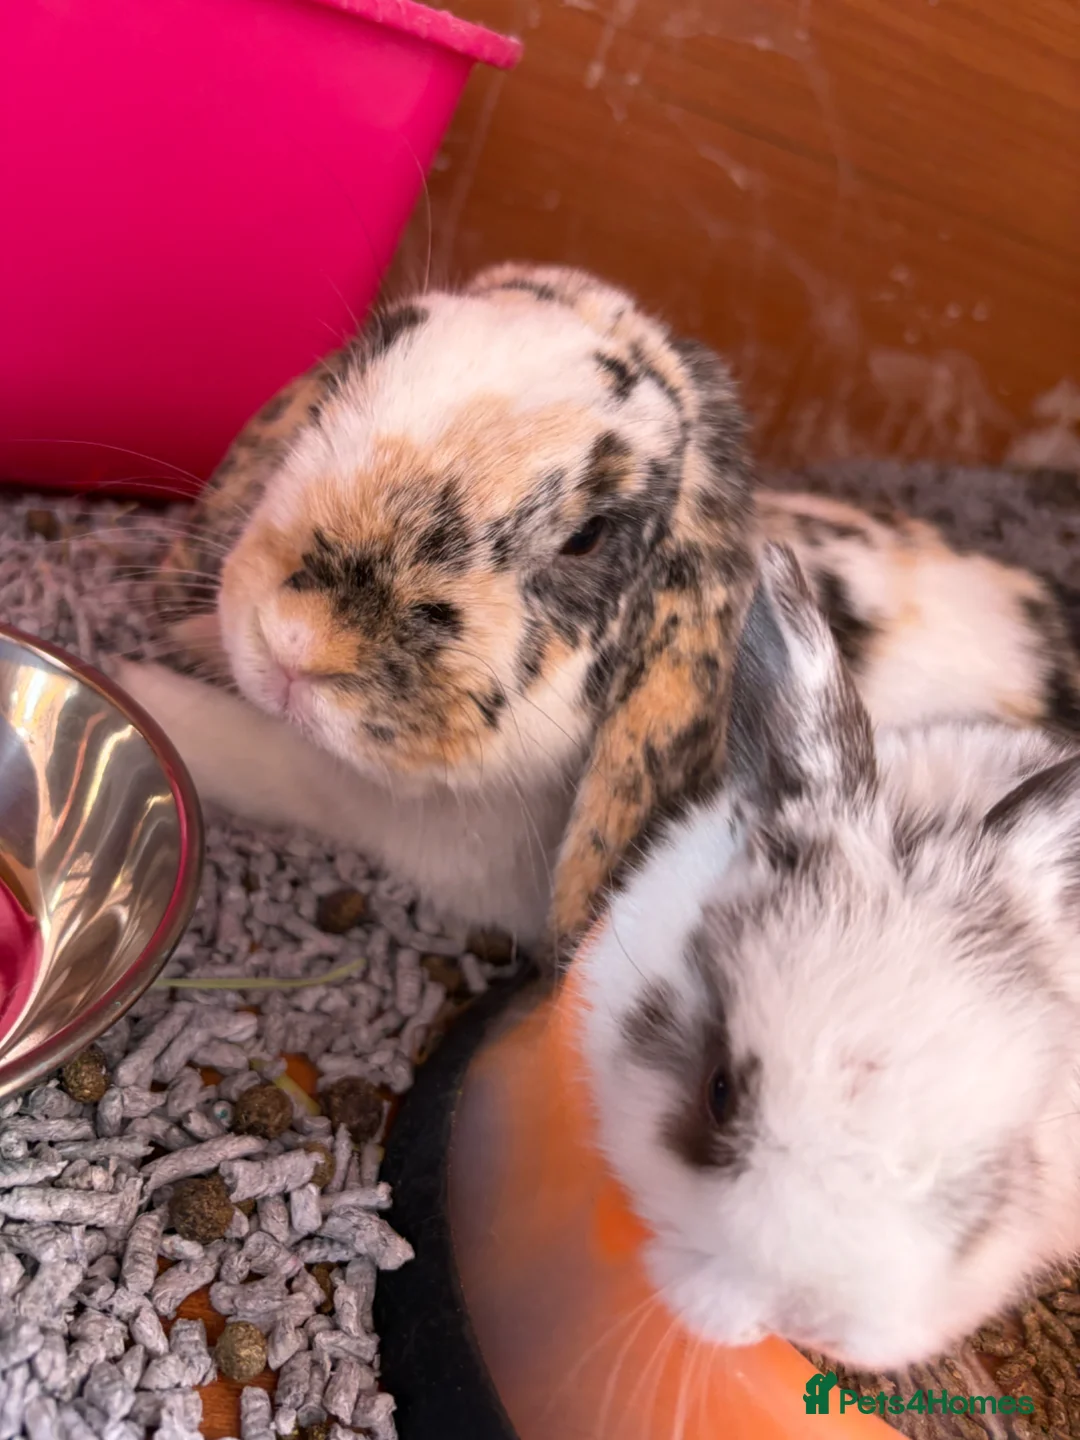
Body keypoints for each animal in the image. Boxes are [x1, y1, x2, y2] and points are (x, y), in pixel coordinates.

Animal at [113, 261, 1080, 960]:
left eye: (587, 536)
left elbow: (271, 759)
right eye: (350, 378)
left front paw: (147, 694)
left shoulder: (389, 818)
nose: (296, 640)